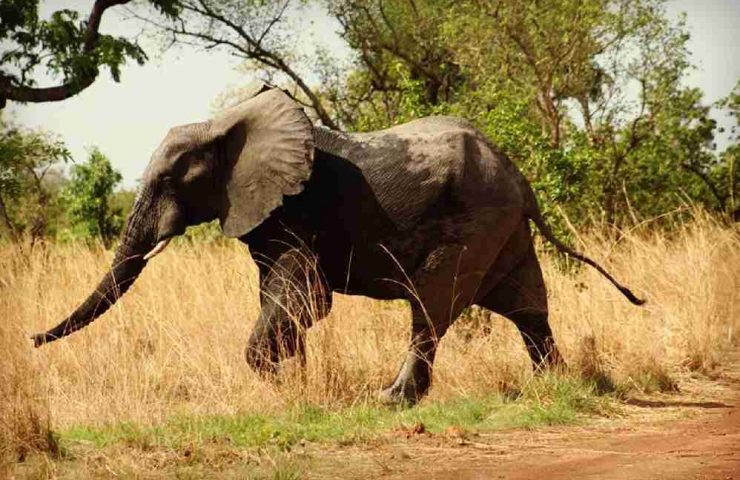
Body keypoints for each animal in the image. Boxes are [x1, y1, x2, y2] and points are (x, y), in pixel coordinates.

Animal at [30, 83, 640, 404]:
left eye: (170, 180)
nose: (29, 339)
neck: (226, 124)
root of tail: (520, 178)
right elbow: (283, 300)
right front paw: (296, 381)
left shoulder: (297, 208)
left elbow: (303, 294)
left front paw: (281, 381)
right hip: (505, 228)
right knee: (528, 305)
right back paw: (554, 386)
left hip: (476, 221)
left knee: (431, 306)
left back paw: (393, 400)